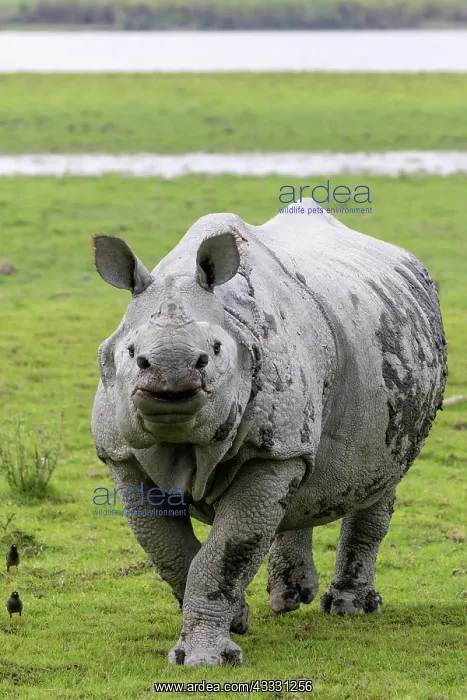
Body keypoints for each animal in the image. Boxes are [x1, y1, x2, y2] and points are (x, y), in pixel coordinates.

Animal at [91, 199, 447, 666]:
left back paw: (349, 608)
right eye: (132, 353)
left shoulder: (272, 450)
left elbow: (229, 548)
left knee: (379, 474)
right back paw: (288, 598)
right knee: (301, 482)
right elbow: (169, 550)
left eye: (214, 351)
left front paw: (207, 659)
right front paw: (236, 619)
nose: (172, 376)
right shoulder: (122, 455)